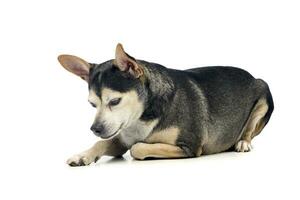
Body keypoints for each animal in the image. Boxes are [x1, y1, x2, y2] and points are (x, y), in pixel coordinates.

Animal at [57, 44, 274, 167]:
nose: (95, 129)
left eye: (115, 101)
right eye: (92, 104)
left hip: (263, 94)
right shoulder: (121, 138)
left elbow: (138, 148)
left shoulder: (190, 146)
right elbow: (102, 143)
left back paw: (243, 142)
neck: (141, 118)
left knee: (249, 130)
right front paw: (82, 156)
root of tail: (250, 75)